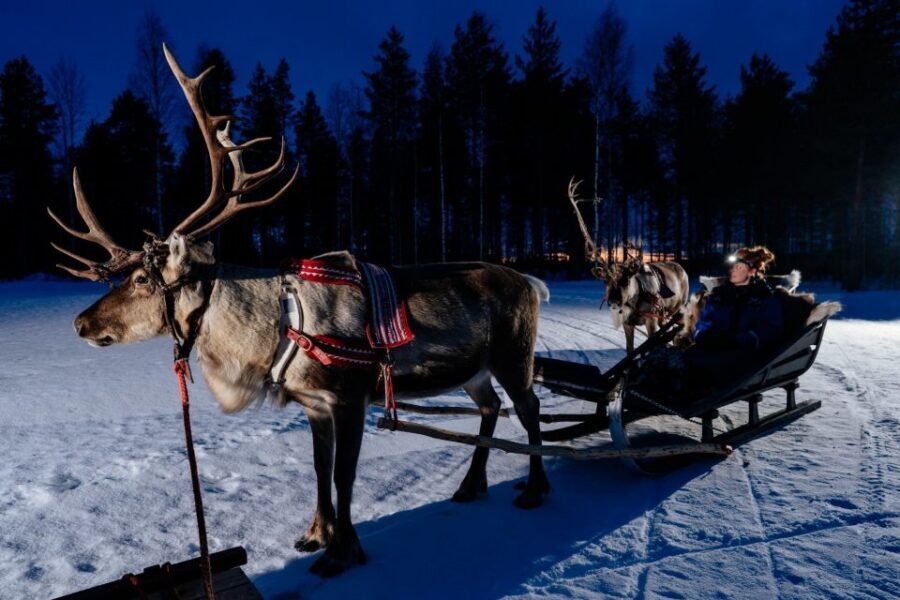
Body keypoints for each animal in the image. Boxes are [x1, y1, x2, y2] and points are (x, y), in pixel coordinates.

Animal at [49, 45, 551, 578]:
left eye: (143, 279)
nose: (80, 322)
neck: (273, 332)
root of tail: (530, 283)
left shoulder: (350, 397)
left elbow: (344, 475)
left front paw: (342, 552)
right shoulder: (314, 405)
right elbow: (319, 468)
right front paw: (315, 534)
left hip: (515, 357)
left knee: (529, 408)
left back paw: (536, 489)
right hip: (475, 370)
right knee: (491, 407)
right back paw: (471, 485)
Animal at [566, 178, 689, 353]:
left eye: (626, 280)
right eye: (605, 281)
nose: (613, 302)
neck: (634, 303)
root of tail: (682, 268)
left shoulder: (651, 319)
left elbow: (650, 346)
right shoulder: (627, 323)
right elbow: (630, 350)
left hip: (678, 306)